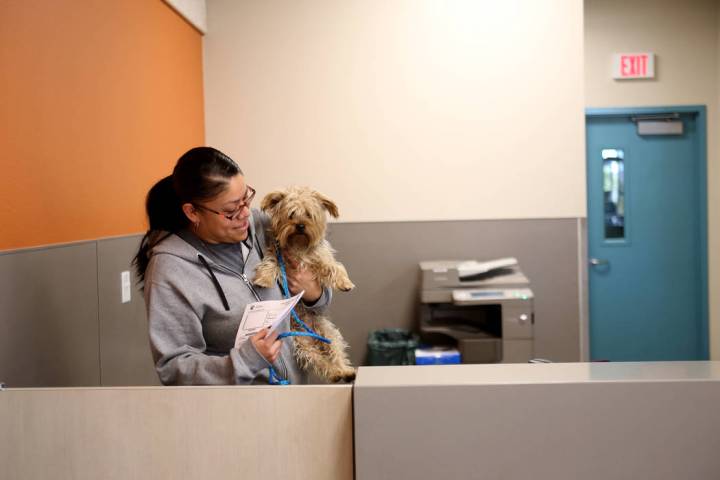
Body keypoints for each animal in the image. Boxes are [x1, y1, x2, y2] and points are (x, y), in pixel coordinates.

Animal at [253, 187, 358, 382]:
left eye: (309, 215)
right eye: (291, 215)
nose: (300, 225)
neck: (299, 245)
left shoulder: (320, 257)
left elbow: (333, 266)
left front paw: (344, 282)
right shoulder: (277, 253)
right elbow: (269, 263)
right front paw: (263, 278)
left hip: (328, 333)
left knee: (335, 351)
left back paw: (344, 371)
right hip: (301, 344)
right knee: (317, 359)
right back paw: (335, 373)